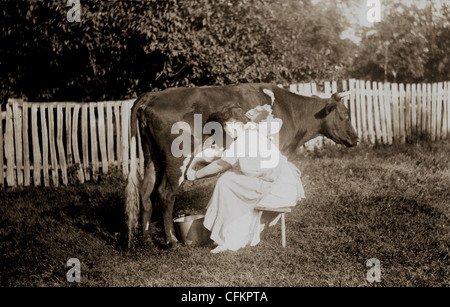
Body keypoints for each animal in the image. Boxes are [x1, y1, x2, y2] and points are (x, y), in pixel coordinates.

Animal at [126, 83, 358, 249]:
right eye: (345, 116)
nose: (356, 139)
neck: (290, 111)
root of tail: (152, 95)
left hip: (151, 158)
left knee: (146, 193)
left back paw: (147, 240)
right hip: (176, 159)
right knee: (165, 193)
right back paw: (172, 241)